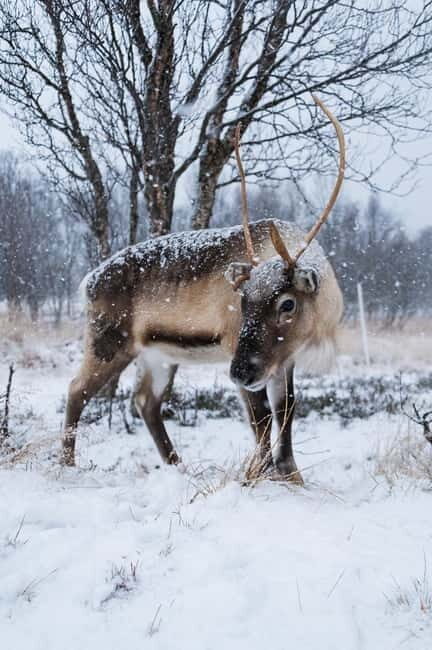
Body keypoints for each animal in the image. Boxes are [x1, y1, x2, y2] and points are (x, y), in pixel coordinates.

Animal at [62, 95, 344, 485]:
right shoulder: (235, 348)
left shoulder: (282, 359)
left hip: (158, 355)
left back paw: (178, 466)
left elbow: (286, 409)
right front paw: (256, 476)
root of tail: (86, 281)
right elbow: (261, 416)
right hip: (109, 340)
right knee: (77, 390)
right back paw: (66, 463)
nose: (239, 372)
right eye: (242, 299)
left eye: (287, 304)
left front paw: (292, 476)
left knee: (145, 401)